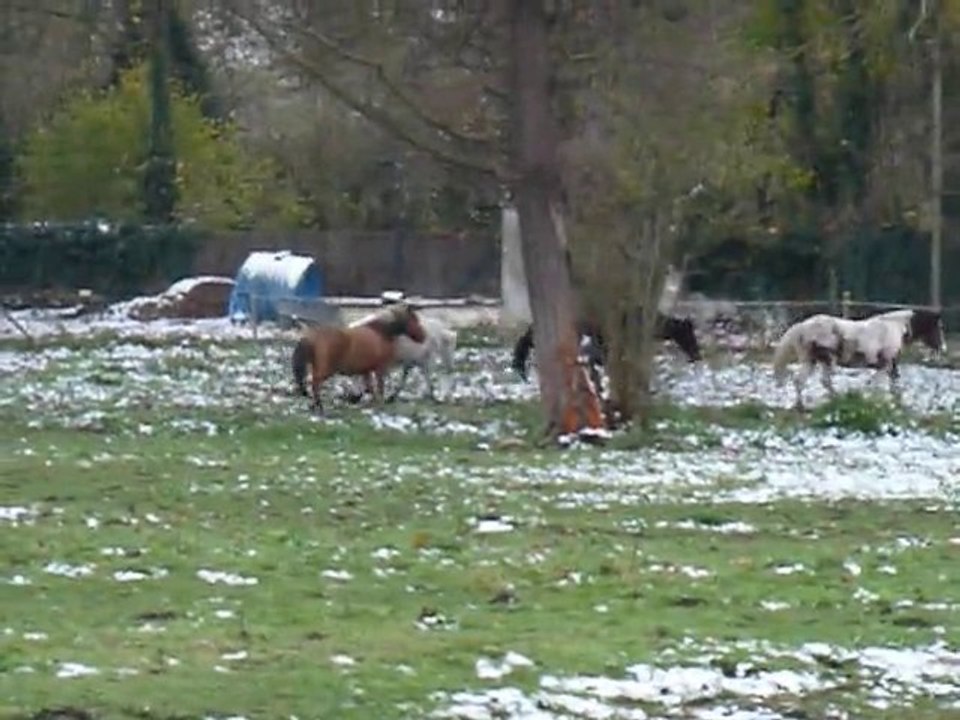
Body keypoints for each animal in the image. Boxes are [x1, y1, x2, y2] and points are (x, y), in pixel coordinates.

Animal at [291, 303, 427, 412]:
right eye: (414, 320)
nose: (423, 336)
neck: (382, 333)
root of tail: (313, 336)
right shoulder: (380, 369)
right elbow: (379, 387)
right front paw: (379, 403)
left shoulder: (366, 370)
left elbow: (369, 388)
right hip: (326, 370)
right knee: (315, 383)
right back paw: (318, 406)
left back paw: (315, 405)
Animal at [771, 307, 947, 409]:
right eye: (937, 327)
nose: (942, 347)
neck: (895, 328)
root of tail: (802, 326)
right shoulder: (886, 364)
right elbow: (878, 385)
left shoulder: (890, 365)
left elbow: (893, 384)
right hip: (826, 360)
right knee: (822, 381)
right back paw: (834, 400)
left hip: (811, 361)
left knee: (800, 381)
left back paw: (801, 405)